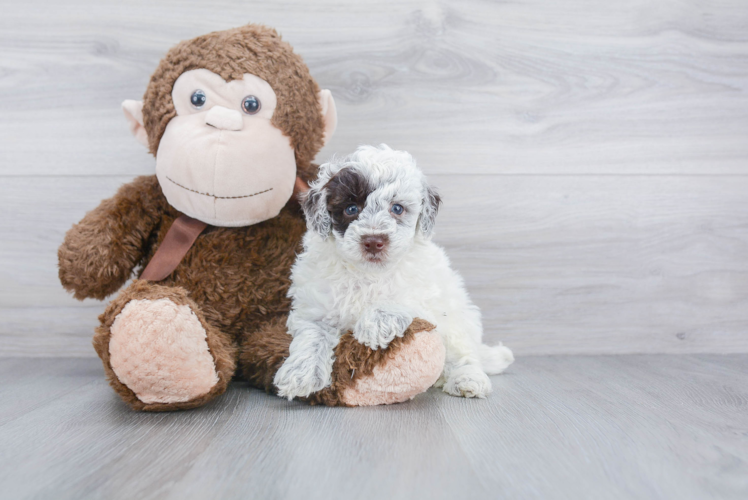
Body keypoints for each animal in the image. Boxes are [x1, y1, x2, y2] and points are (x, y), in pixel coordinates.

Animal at [274, 144, 516, 398]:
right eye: (351, 208)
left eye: (397, 208)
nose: (373, 241)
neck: (367, 273)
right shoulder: (315, 306)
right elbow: (313, 334)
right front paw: (301, 373)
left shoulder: (426, 295)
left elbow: (401, 297)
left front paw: (377, 322)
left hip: (458, 321)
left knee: (464, 354)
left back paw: (467, 379)